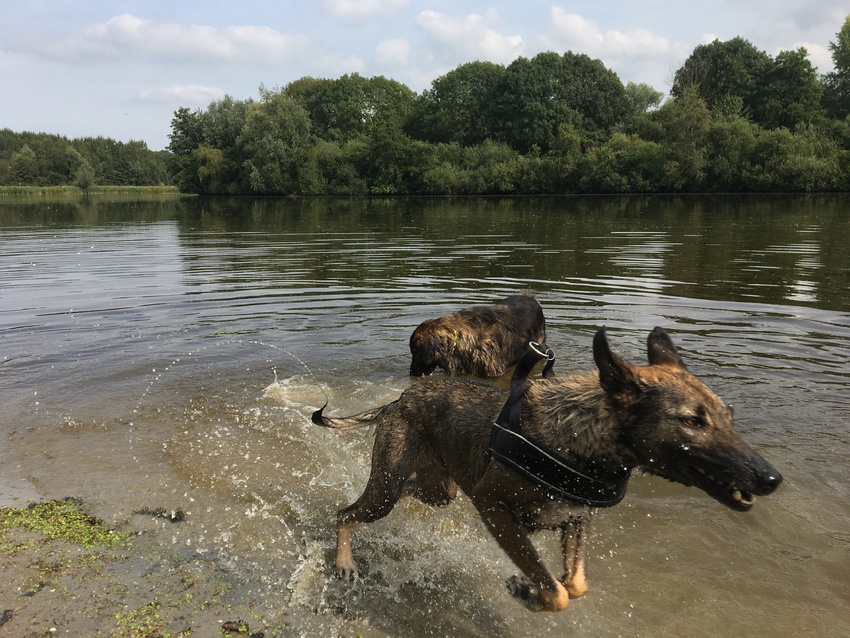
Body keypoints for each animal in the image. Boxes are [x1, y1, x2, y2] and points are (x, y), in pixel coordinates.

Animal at [312, 327, 782, 612]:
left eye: (729, 416)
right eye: (692, 421)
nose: (770, 478)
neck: (579, 439)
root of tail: (400, 399)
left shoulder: (574, 519)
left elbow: (575, 585)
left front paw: (530, 589)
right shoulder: (494, 507)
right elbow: (557, 593)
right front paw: (528, 589)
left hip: (437, 490)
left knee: (410, 492)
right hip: (387, 489)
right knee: (345, 513)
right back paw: (344, 563)